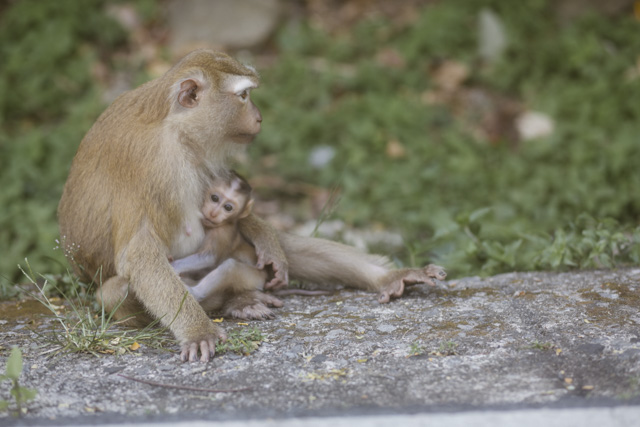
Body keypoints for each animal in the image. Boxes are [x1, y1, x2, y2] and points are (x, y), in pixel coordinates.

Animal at [58, 49, 445, 364]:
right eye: (243, 96)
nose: (258, 117)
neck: (172, 125)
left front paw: (263, 234)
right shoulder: (150, 164)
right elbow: (137, 254)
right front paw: (198, 331)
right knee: (117, 290)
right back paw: (232, 304)